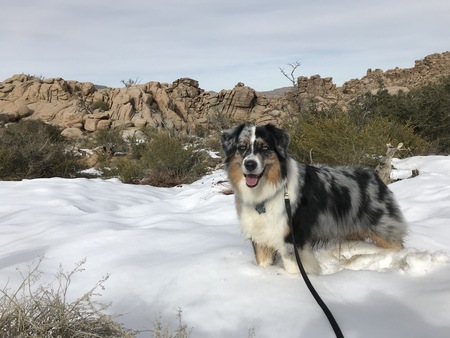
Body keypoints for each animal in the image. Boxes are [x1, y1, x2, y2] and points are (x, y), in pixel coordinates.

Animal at [221, 123, 408, 274]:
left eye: (265, 148)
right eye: (242, 147)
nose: (250, 164)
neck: (267, 193)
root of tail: (374, 176)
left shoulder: (291, 239)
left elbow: (293, 270)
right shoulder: (261, 237)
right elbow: (263, 262)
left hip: (384, 229)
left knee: (397, 245)